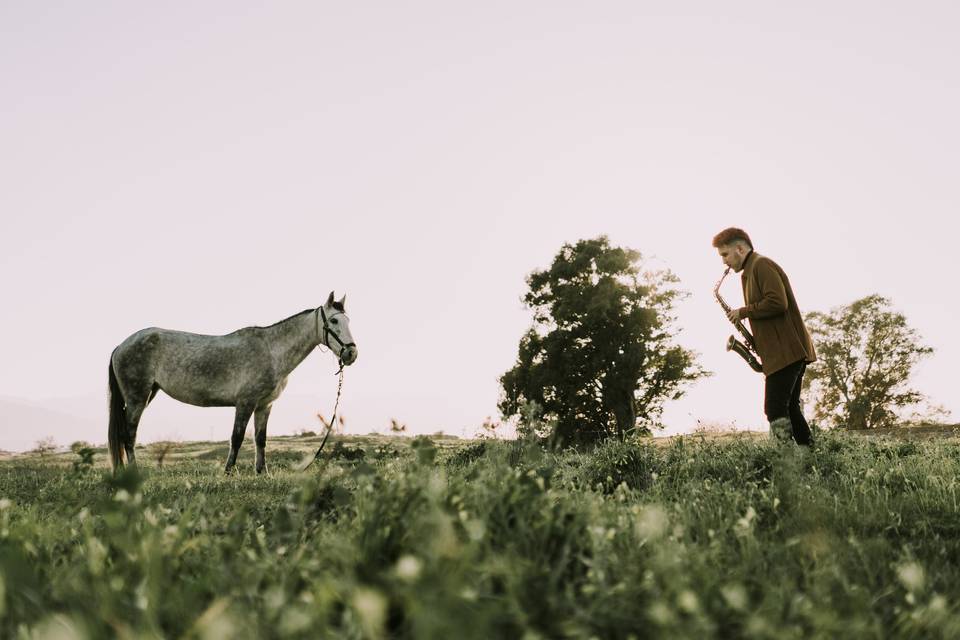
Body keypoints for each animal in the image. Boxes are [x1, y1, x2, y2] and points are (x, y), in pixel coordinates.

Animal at [106, 292, 360, 472]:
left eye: (348, 320)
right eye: (334, 321)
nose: (351, 354)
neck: (271, 350)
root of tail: (120, 346)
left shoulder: (264, 406)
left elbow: (260, 440)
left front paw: (262, 472)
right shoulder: (245, 403)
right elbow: (237, 438)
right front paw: (228, 472)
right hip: (138, 398)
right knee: (128, 435)